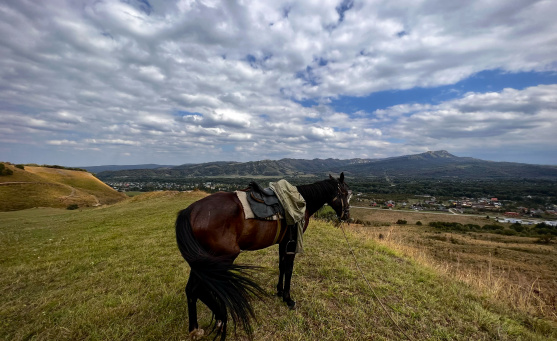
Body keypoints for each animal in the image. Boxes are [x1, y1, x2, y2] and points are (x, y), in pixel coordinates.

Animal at [176, 173, 350, 340]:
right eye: (346, 193)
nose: (347, 215)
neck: (301, 201)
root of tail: (190, 211)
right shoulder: (291, 244)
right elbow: (289, 269)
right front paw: (288, 298)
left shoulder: (283, 243)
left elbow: (281, 266)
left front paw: (279, 291)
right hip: (221, 258)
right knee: (199, 289)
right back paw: (217, 318)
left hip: (201, 262)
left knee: (192, 290)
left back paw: (196, 328)